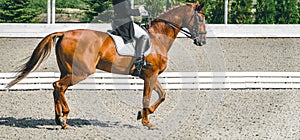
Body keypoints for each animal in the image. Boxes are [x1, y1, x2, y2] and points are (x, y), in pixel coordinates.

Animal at [5, 2, 206, 129]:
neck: (158, 38)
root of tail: (64, 33)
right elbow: (148, 97)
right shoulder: (150, 75)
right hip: (81, 72)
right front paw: (146, 121)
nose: (202, 41)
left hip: (67, 70)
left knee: (56, 87)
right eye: (201, 19)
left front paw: (142, 114)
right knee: (58, 86)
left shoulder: (150, 75)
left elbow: (162, 95)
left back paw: (60, 118)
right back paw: (63, 117)